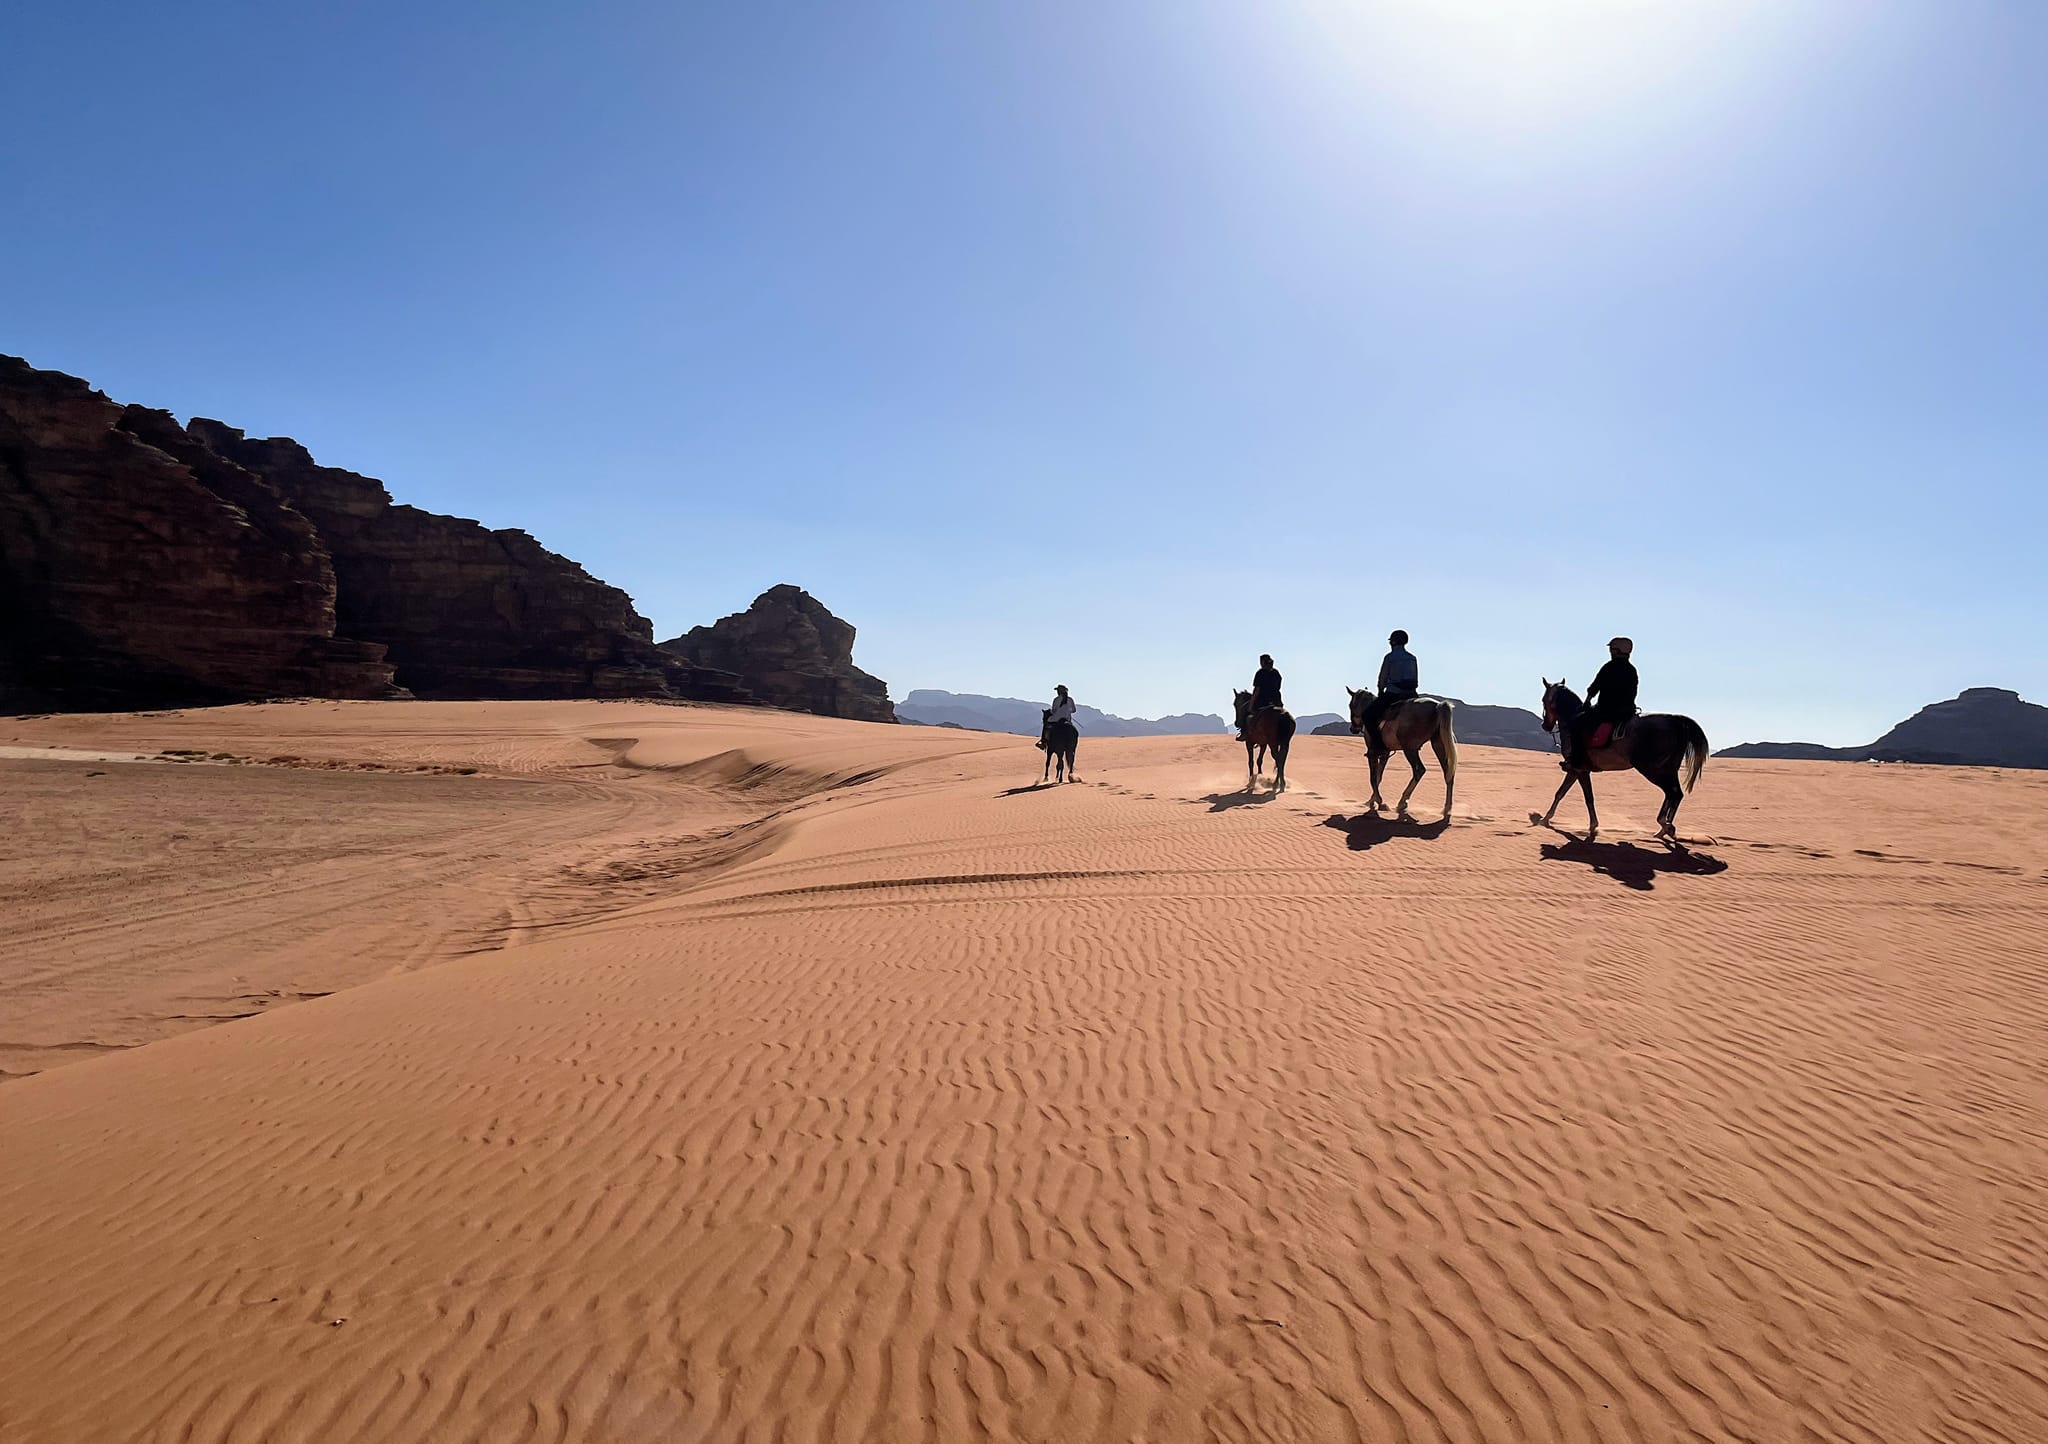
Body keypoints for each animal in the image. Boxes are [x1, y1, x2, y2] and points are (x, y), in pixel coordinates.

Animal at [1540, 680, 1712, 839]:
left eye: (1544, 700)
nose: (1545, 726)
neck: (1572, 721)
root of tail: (1675, 721)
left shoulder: (1579, 769)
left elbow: (1586, 798)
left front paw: (1591, 825)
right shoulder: (1578, 770)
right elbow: (1561, 793)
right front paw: (1546, 818)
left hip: (1653, 769)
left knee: (1673, 793)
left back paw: (1665, 824)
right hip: (1668, 769)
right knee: (1674, 794)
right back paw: (1663, 830)